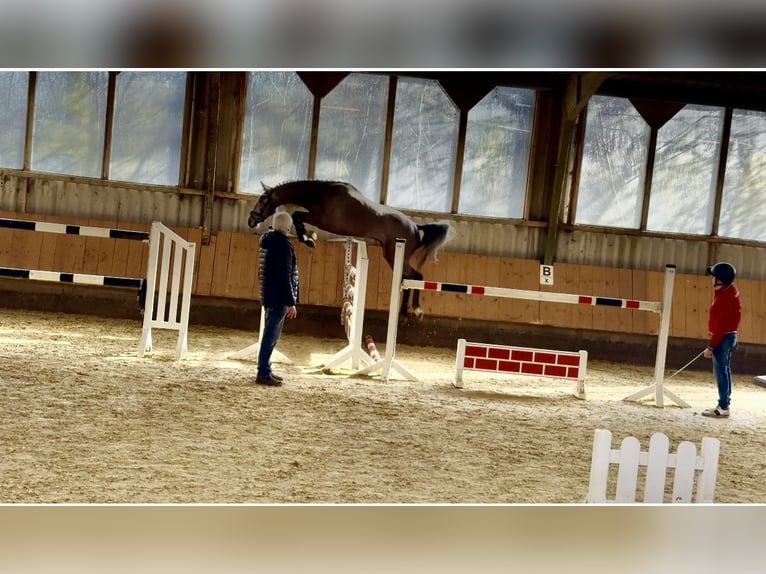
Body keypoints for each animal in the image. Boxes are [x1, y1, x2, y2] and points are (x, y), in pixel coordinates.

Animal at [250, 179, 456, 316]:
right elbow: (297, 216)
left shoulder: (322, 220)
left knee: (416, 276)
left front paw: (307, 239)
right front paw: (308, 237)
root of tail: (415, 227)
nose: (251, 220)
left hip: (396, 255)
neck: (322, 193)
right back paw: (405, 311)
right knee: (407, 278)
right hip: (392, 257)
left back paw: (414, 310)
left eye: (262, 200)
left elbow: (297, 215)